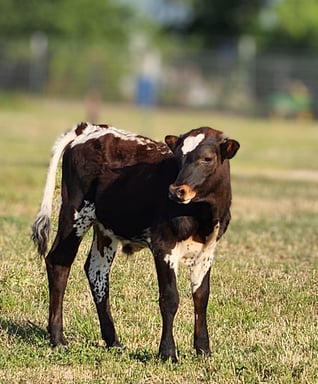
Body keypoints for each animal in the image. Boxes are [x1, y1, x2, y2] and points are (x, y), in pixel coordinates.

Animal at [33, 121, 241, 362]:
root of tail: (90, 129)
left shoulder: (207, 251)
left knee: (97, 272)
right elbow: (170, 298)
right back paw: (58, 339)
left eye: (207, 158)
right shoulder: (163, 246)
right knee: (59, 262)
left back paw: (112, 341)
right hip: (74, 212)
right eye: (178, 157)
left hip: (104, 228)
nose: (176, 191)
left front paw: (203, 350)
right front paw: (168, 353)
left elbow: (201, 296)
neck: (202, 215)